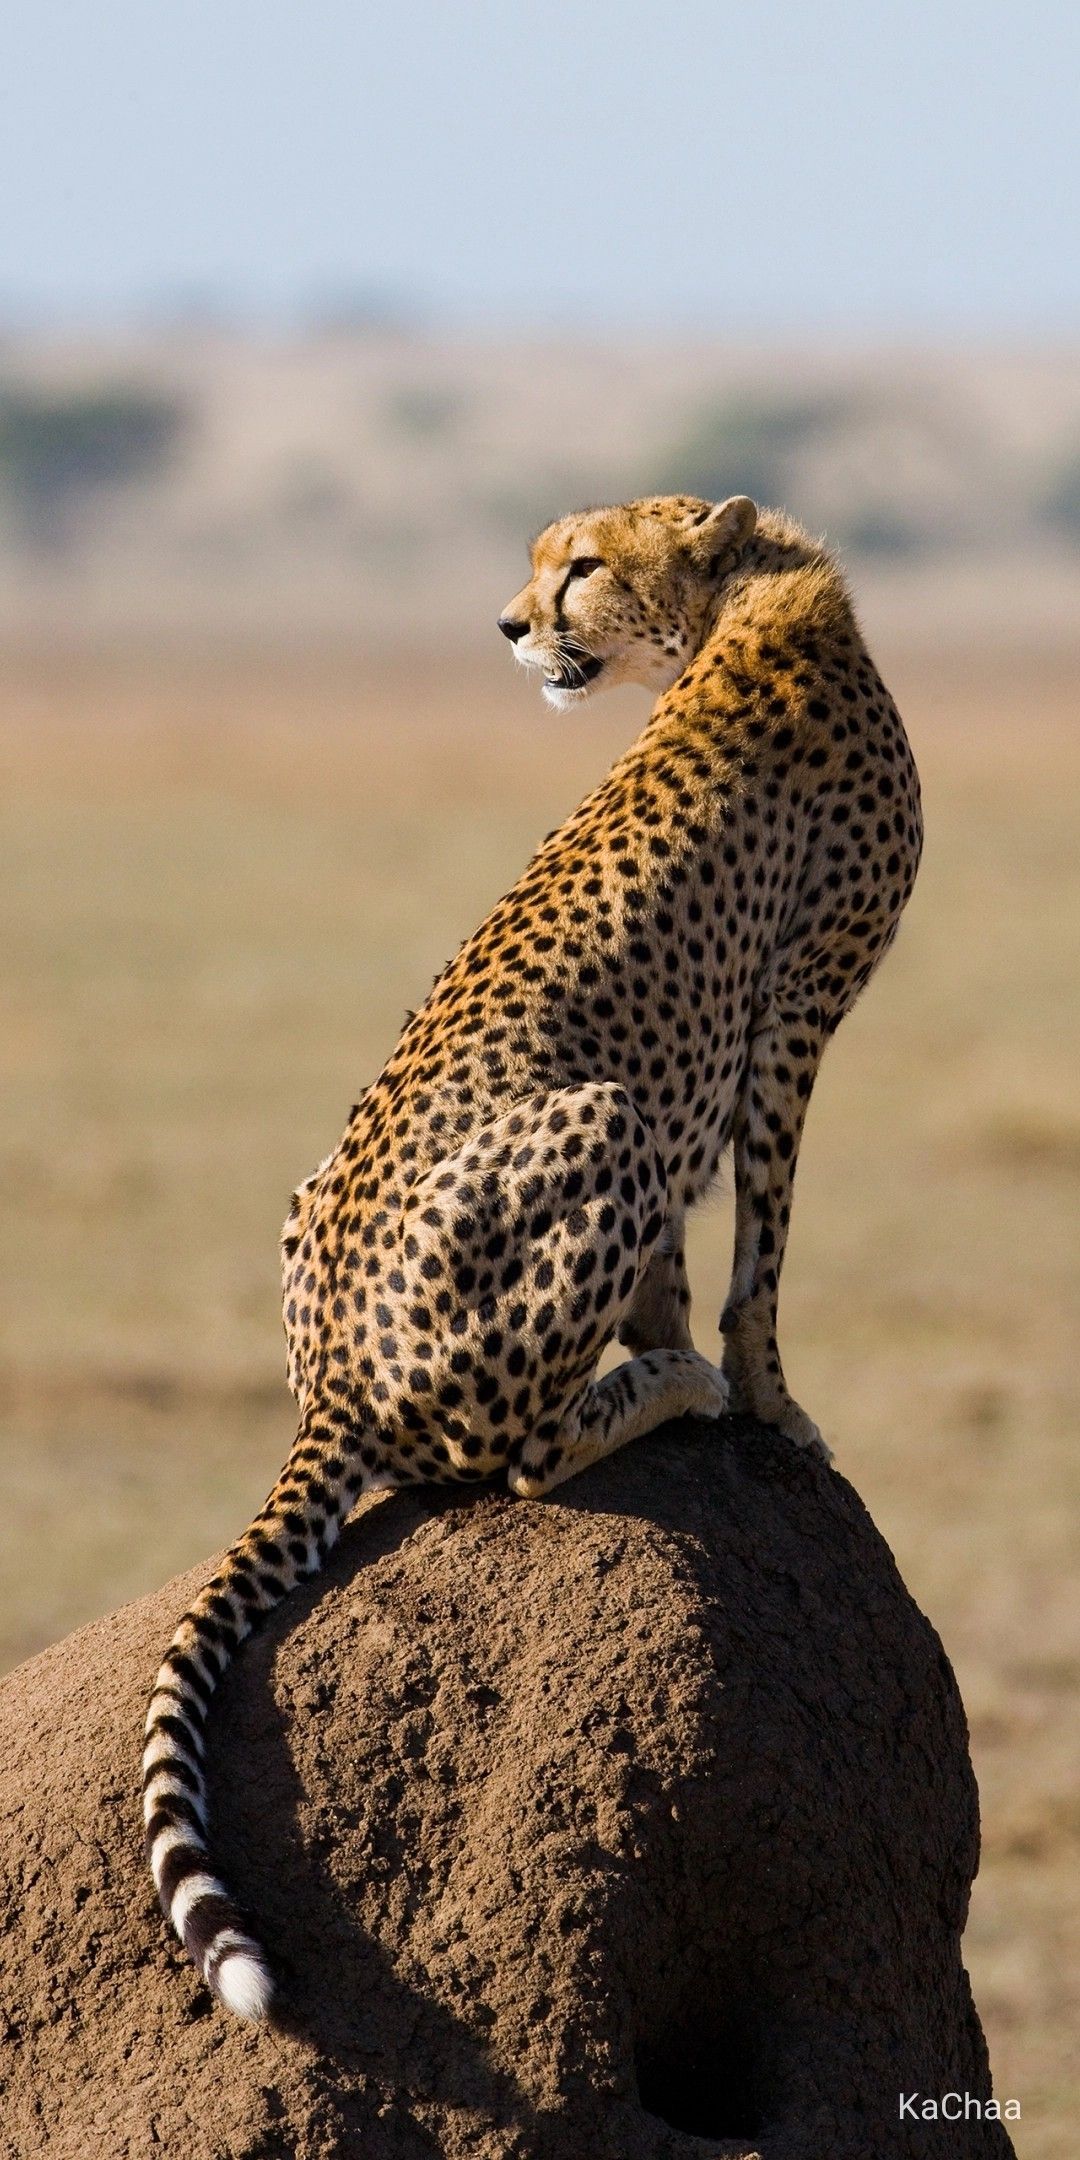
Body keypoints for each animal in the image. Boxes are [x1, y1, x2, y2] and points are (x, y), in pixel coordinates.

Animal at [143, 491, 923, 2022]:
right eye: (543, 559)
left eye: (584, 565)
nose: (508, 625)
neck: (750, 593)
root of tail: (333, 1380)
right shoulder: (791, 1017)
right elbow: (762, 1260)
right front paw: (767, 1402)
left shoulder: (742, 1044)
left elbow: (690, 1261)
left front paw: (693, 1354)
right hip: (603, 1116)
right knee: (509, 1461)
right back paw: (665, 1396)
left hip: (343, 1184)